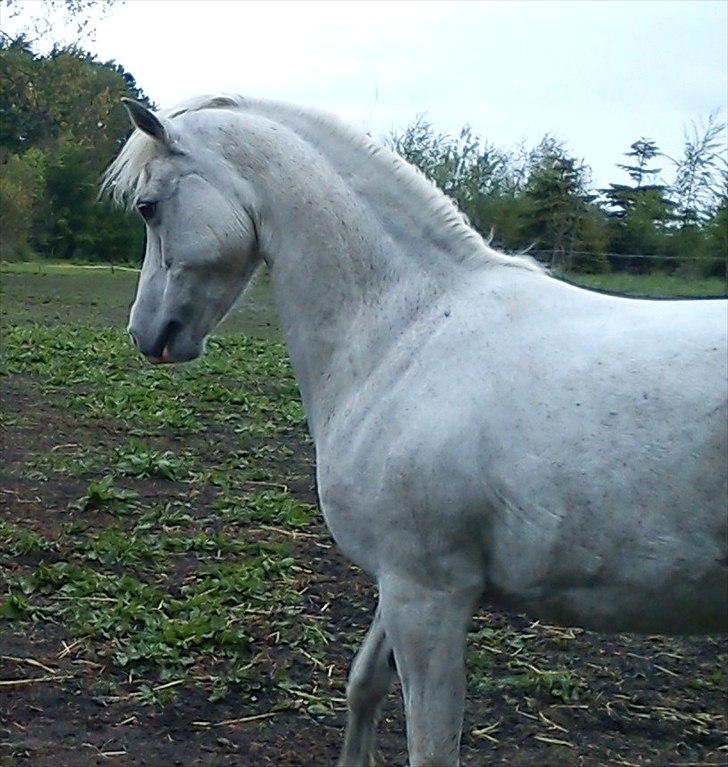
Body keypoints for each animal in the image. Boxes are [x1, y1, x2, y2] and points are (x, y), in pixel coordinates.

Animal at [103, 95, 728, 767]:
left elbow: (429, 745)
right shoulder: (398, 581)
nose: (145, 333)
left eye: (148, 206)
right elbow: (363, 686)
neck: (407, 330)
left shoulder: (427, 595)